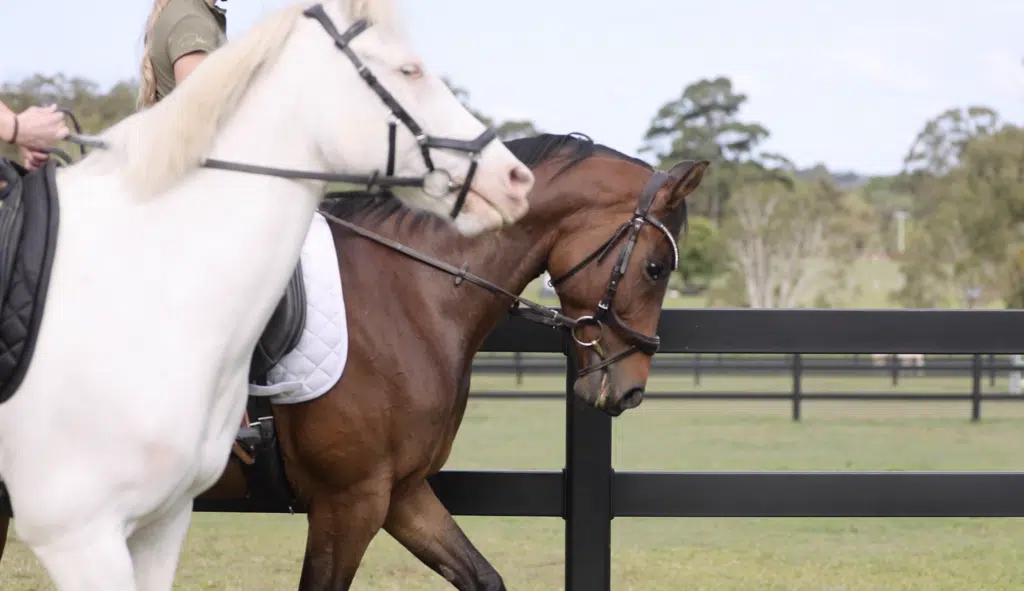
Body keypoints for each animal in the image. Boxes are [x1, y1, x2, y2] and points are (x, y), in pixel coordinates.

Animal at [193, 132, 704, 589]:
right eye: (655, 268)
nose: (631, 390)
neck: (403, 291)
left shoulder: (400, 492)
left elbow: (483, 577)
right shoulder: (347, 501)